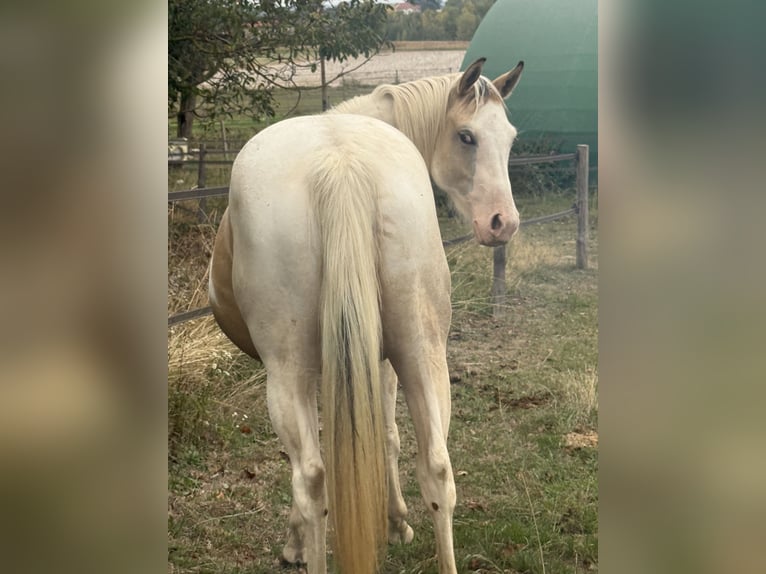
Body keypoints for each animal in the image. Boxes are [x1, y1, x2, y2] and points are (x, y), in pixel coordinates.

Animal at [208, 58, 524, 574]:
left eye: (510, 138)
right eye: (467, 136)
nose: (503, 223)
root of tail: (340, 163)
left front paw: (301, 541)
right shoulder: (377, 359)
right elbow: (389, 436)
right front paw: (394, 523)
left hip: (289, 373)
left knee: (311, 480)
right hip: (421, 352)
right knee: (437, 468)